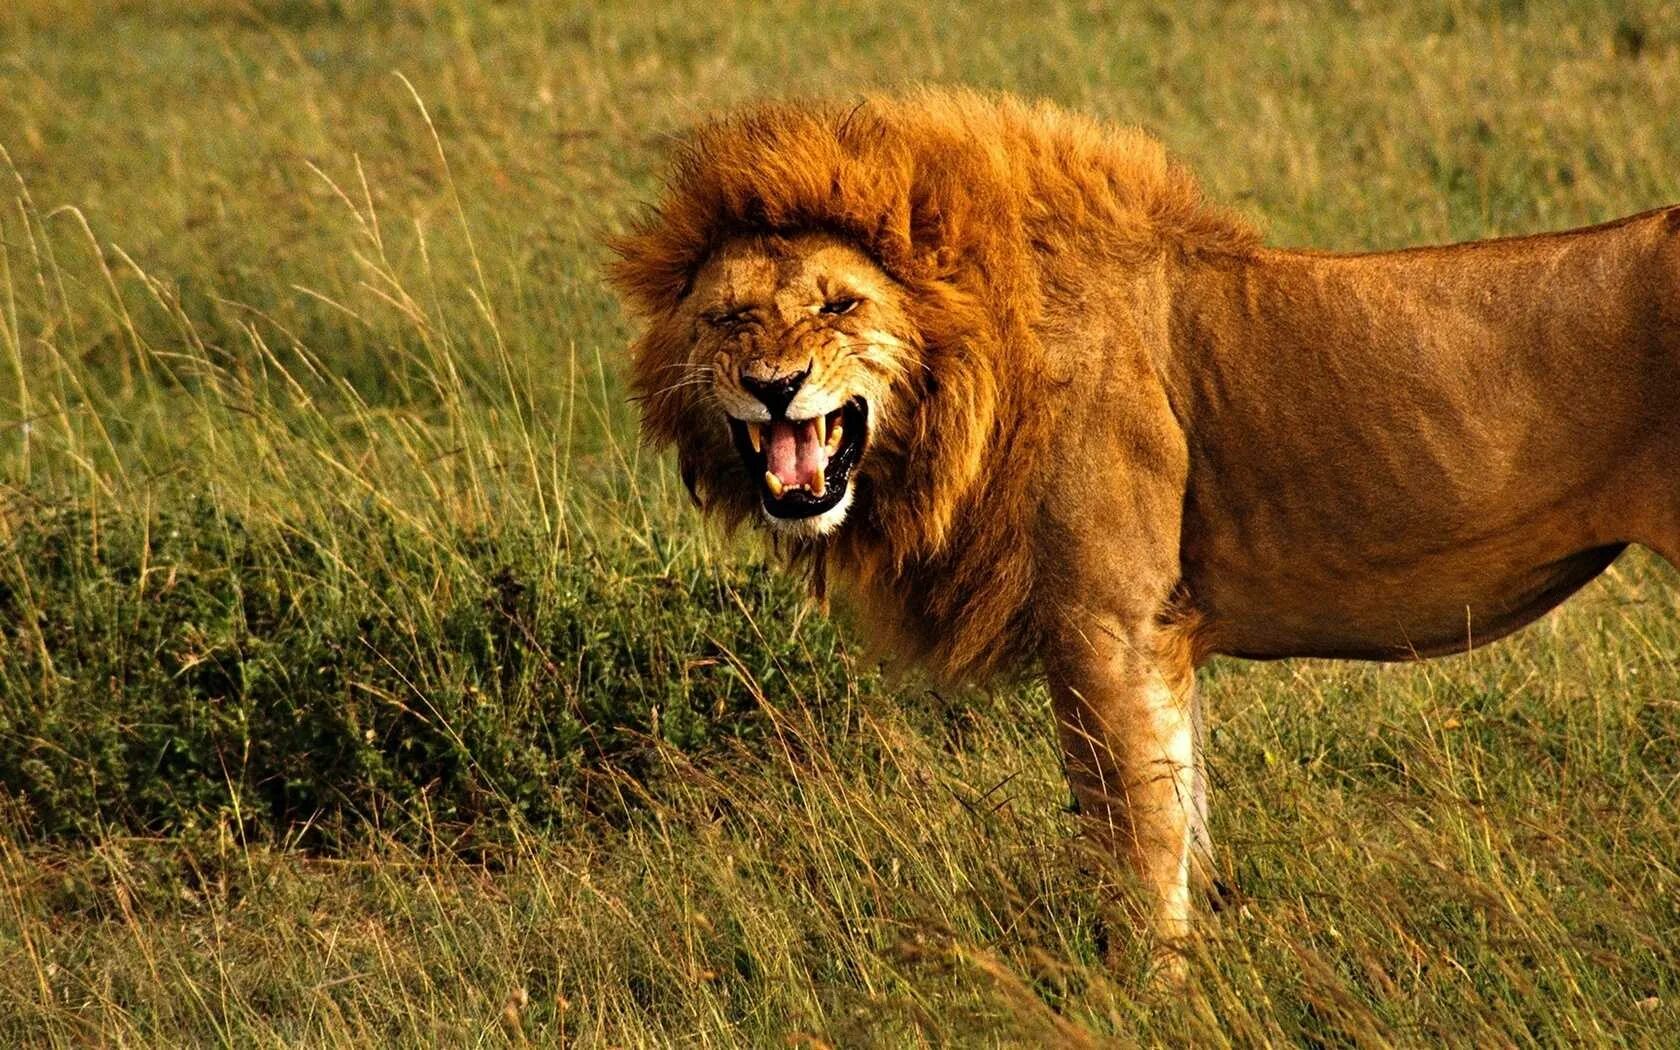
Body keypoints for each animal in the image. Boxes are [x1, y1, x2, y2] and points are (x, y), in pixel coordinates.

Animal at [607, 87, 1680, 969]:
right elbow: (1184, 814)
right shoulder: (1162, 635)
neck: (976, 374)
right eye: (731, 318)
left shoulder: (1108, 624)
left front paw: (1150, 991)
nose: (774, 385)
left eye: (840, 304)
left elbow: (1137, 836)